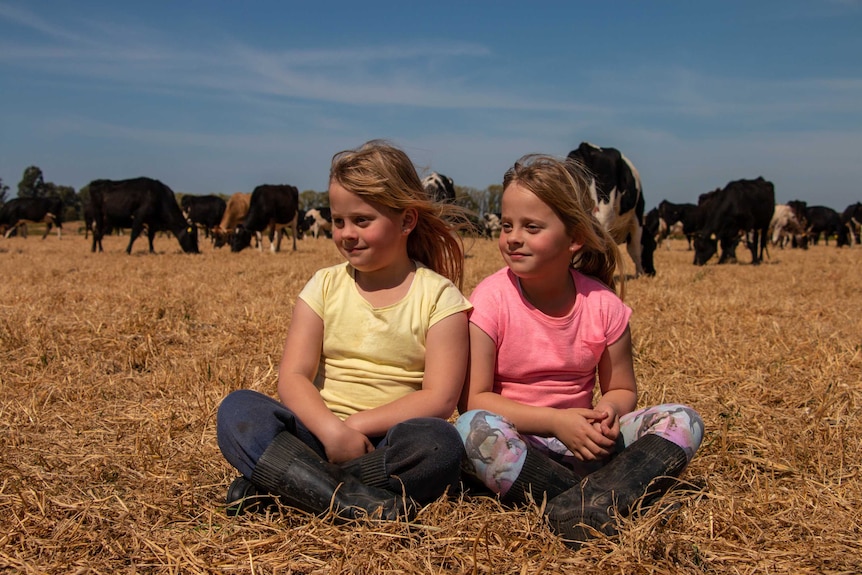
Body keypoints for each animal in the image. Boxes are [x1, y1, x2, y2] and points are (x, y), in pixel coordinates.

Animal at [568, 142, 656, 276]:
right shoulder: (637, 216)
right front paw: (639, 274)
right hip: (604, 211)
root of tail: (585, 147)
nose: (653, 272)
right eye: (652, 246)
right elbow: (635, 248)